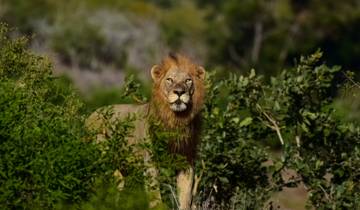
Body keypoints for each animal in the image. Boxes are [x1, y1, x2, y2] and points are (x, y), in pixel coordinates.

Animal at [84, 53, 207, 210]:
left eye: (188, 80)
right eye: (170, 80)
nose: (179, 92)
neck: (176, 120)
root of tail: (90, 115)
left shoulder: (186, 162)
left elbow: (186, 196)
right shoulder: (150, 161)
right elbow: (155, 195)